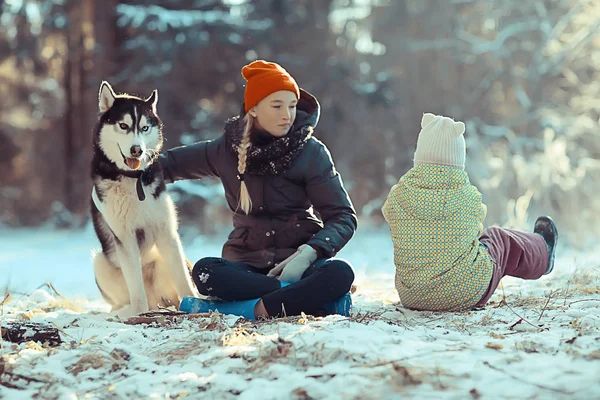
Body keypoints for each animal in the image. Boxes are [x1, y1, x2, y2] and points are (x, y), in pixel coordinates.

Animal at [91, 81, 198, 318]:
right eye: (123, 126)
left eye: (145, 128)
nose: (136, 150)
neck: (133, 180)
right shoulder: (124, 237)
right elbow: (135, 286)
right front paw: (138, 313)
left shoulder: (166, 230)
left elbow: (183, 280)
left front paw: (195, 303)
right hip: (100, 261)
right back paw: (124, 310)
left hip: (160, 262)